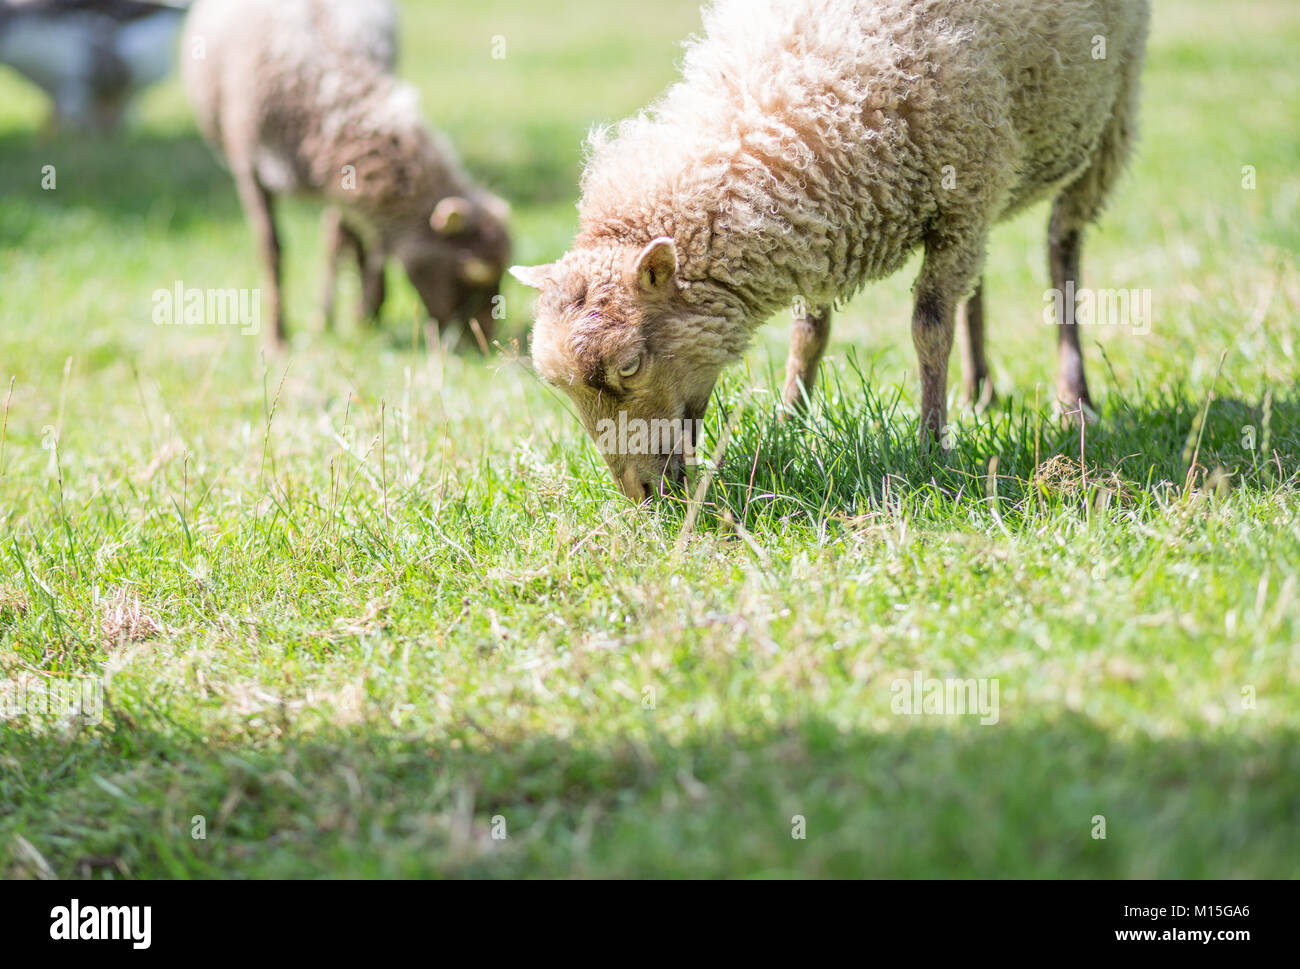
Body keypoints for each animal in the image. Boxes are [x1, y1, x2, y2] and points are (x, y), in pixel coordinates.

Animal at [182, 0, 510, 345]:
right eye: (470, 273)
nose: (482, 344)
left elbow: (342, 240)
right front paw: (277, 339)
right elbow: (271, 249)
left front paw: (362, 316)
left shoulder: (343, 178)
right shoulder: (250, 168)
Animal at [512, 0, 1150, 502]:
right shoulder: (821, 221)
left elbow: (928, 328)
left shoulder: (960, 198)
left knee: (1061, 248)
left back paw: (1074, 398)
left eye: (629, 365)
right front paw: (789, 420)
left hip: (1108, 117)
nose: (640, 494)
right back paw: (980, 390)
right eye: (560, 386)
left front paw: (932, 446)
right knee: (980, 281)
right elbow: (809, 334)